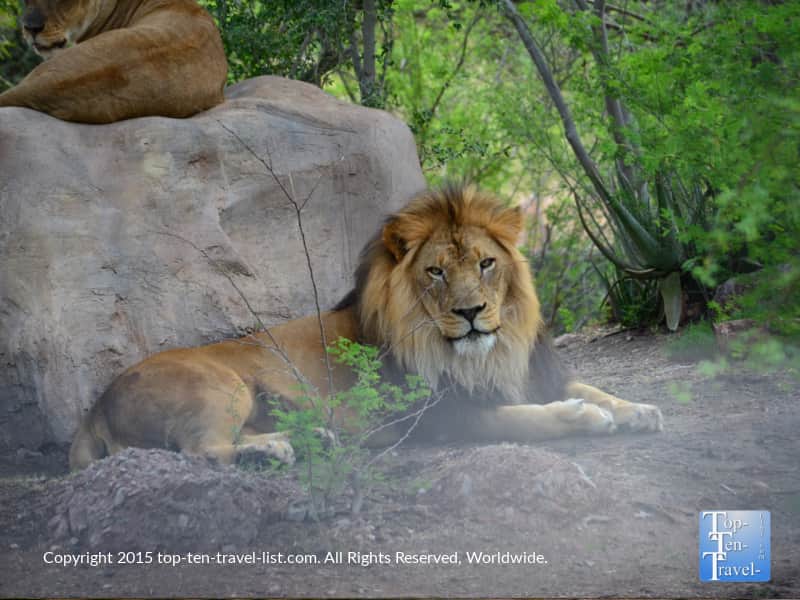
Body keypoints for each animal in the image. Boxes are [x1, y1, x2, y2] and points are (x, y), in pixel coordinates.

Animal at [69, 186, 663, 470]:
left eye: (486, 263)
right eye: (436, 272)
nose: (472, 312)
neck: (489, 353)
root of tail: (94, 408)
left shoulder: (533, 373)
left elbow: (588, 385)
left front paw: (638, 409)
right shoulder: (437, 417)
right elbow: (519, 420)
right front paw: (583, 417)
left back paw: (301, 443)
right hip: (220, 386)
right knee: (202, 450)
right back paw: (275, 454)